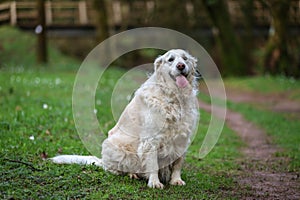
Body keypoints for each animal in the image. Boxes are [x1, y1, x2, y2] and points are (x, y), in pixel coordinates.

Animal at [52, 49, 199, 188]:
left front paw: (176, 180)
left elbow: (177, 164)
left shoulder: (182, 139)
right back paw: (132, 174)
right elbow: (153, 165)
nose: (181, 66)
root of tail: (103, 161)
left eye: (185, 58)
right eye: (170, 59)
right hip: (119, 150)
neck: (174, 97)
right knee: (116, 169)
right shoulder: (151, 140)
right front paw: (154, 182)